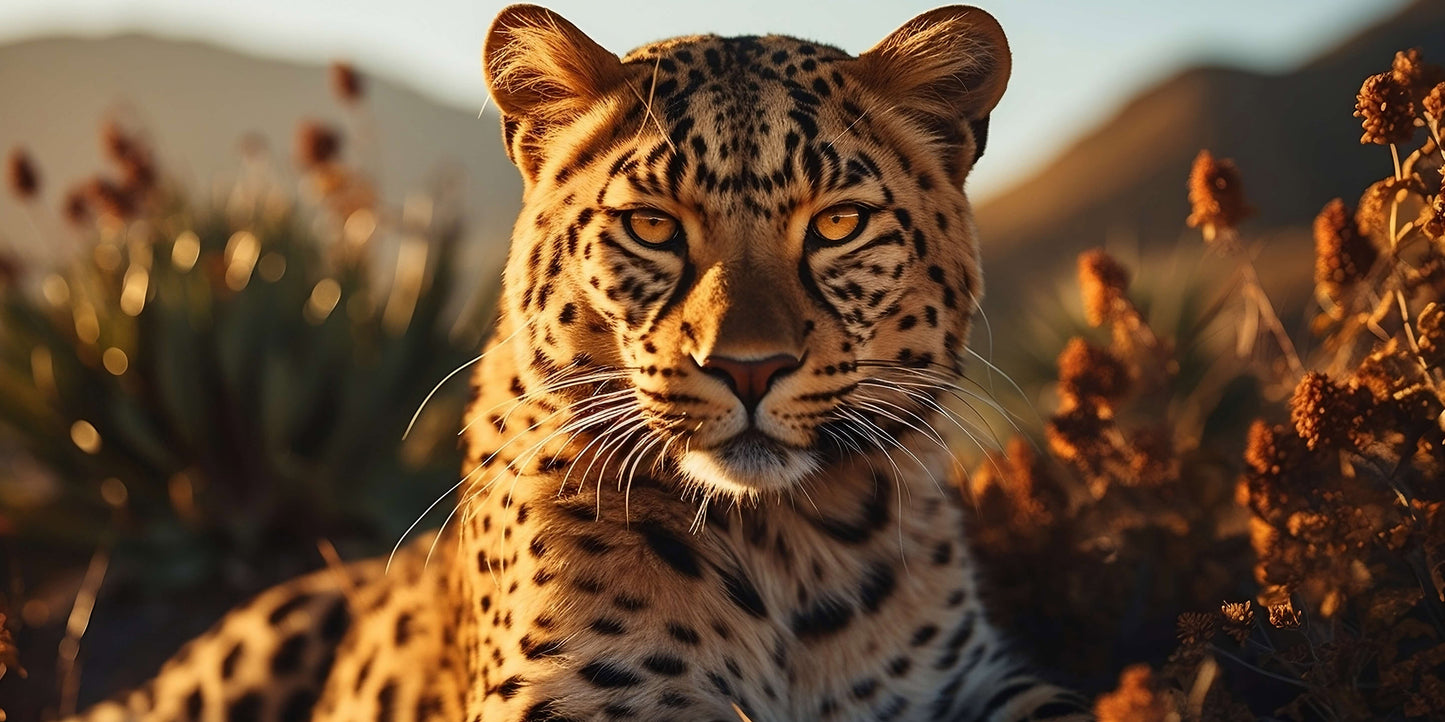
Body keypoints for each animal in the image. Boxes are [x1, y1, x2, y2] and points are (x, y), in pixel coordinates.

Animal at [67, 4, 1094, 721]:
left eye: (838, 225)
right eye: (652, 227)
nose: (750, 368)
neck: (786, 549)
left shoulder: (972, 678)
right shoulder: (577, 697)